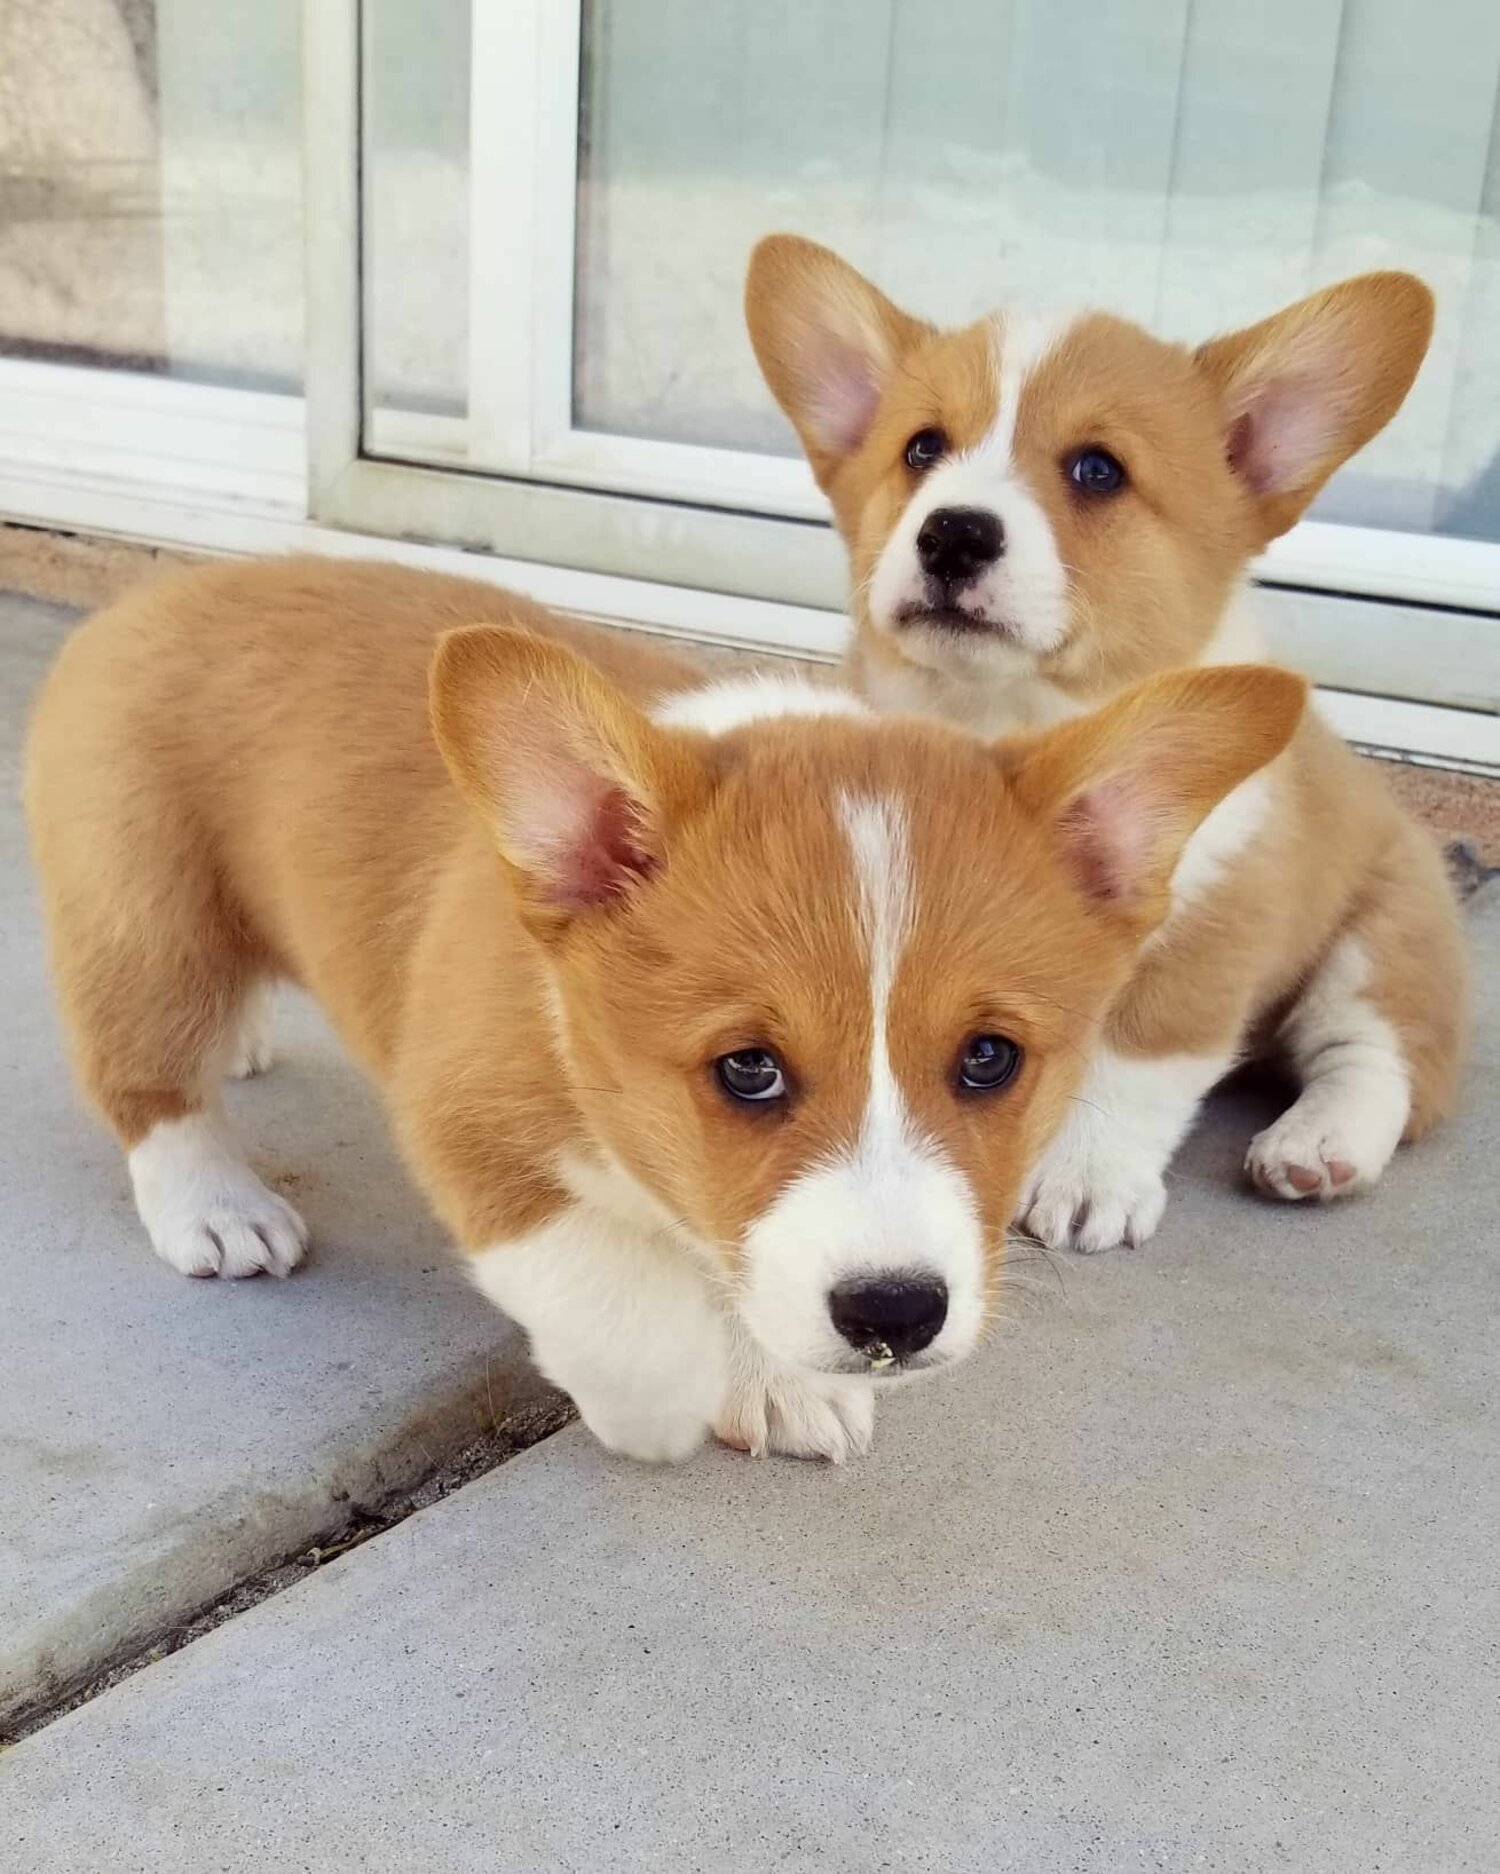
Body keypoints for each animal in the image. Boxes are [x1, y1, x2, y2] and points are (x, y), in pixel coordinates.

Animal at [26, 554, 1297, 1461]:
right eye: (749, 1067)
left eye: (991, 1057)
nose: (894, 1315)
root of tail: (151, 594)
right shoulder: (468, 1123)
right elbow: (618, 1295)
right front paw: (675, 1402)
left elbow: (736, 1269)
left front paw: (774, 1382)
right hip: (147, 918)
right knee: (143, 1077)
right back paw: (217, 1203)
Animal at [742, 241, 1470, 1251]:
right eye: (923, 448)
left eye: (1098, 470)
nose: (952, 533)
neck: (1005, 718)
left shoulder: (1208, 934)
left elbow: (1132, 1066)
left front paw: (1085, 1179)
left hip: (1381, 938)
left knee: (1376, 1055)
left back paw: (1319, 1143)